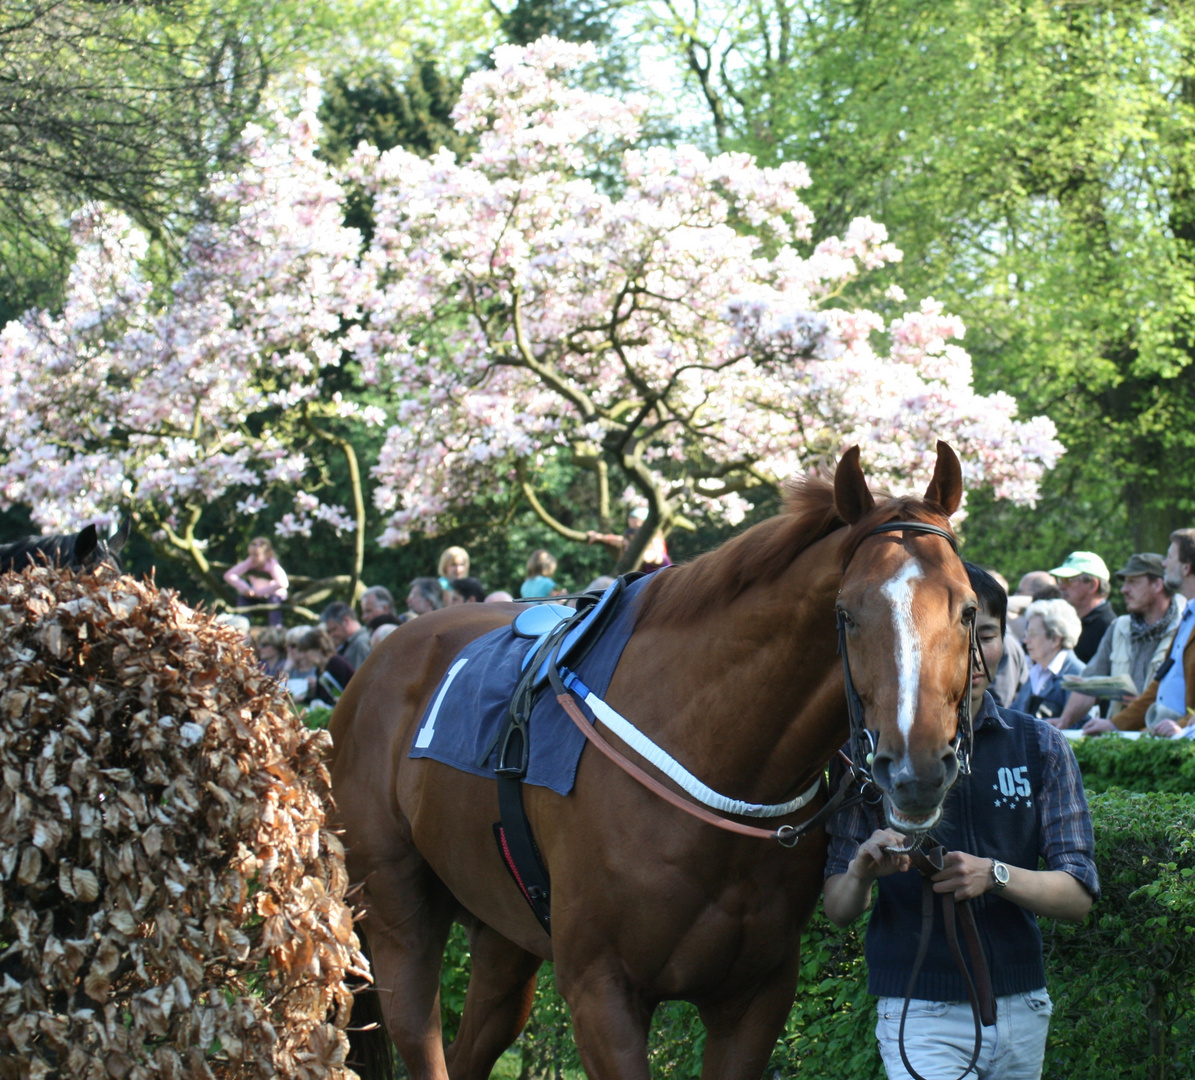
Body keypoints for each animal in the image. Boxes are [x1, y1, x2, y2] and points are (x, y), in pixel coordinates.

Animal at [332, 442, 975, 1080]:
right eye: (846, 613)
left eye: (967, 610)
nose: (916, 772)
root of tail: (375, 664)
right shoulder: (600, 991)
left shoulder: (757, 994)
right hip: (396, 910)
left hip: (501, 928)